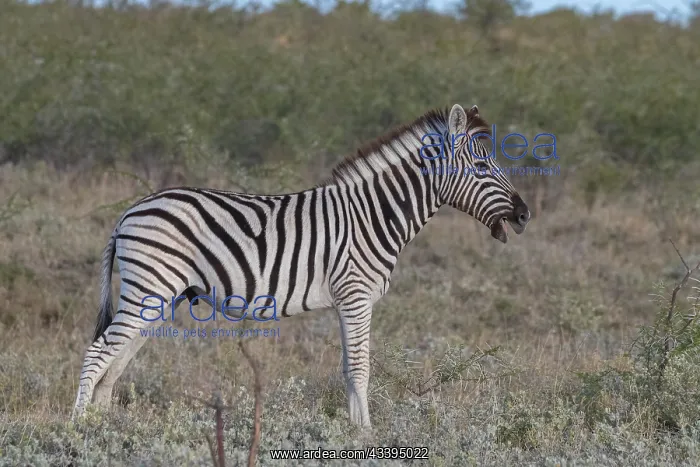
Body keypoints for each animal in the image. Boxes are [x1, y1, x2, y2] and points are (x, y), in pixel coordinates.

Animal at [72, 104, 530, 427]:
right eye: (482, 166)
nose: (524, 214)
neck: (373, 214)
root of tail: (129, 212)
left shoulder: (348, 302)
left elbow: (348, 368)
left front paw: (354, 431)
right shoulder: (356, 296)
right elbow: (360, 367)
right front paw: (368, 435)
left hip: (159, 297)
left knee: (116, 361)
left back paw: (105, 430)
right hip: (148, 290)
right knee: (98, 353)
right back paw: (78, 431)